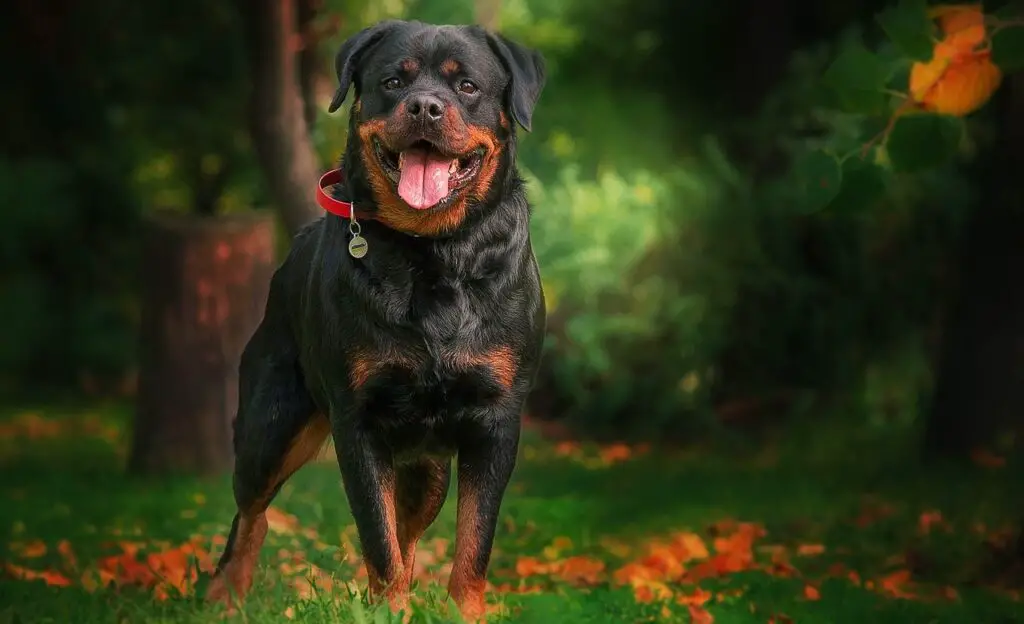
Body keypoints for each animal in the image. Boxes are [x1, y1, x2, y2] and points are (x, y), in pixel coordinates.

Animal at [202, 18, 548, 618]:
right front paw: (389, 611)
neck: (432, 253)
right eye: (393, 81)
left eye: (467, 87)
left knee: (408, 532)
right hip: (270, 425)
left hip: (426, 468)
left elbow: (472, 542)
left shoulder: (497, 418)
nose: (426, 107)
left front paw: (462, 612)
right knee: (252, 512)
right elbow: (376, 539)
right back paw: (227, 593)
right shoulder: (357, 421)